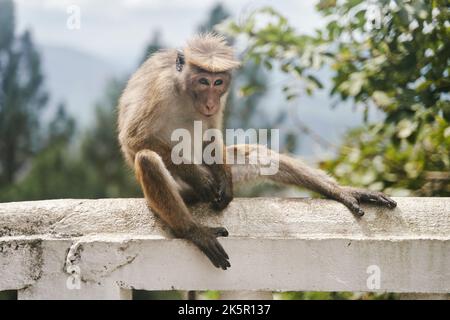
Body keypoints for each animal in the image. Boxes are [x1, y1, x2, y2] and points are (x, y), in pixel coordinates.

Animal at [117, 33, 398, 270]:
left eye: (218, 82)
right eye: (203, 81)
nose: (210, 102)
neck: (184, 91)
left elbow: (211, 133)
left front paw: (222, 180)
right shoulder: (161, 87)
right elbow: (135, 139)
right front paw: (200, 178)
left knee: (256, 154)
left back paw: (340, 191)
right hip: (181, 191)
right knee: (148, 159)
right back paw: (192, 230)